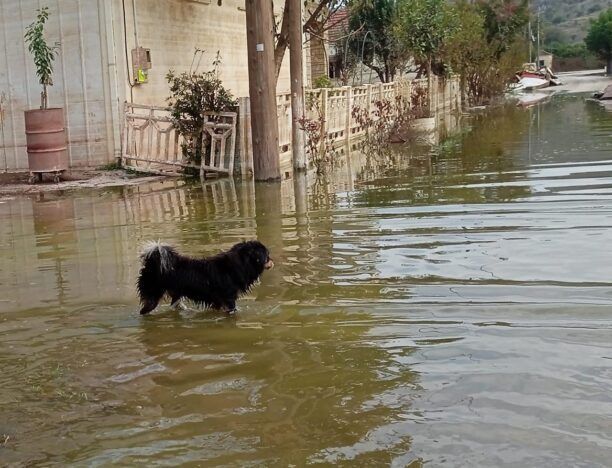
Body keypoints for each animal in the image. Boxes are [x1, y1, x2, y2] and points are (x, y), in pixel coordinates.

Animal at [139, 241, 274, 314]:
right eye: (267, 256)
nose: (273, 261)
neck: (241, 263)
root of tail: (151, 264)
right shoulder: (229, 299)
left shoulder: (218, 302)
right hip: (153, 297)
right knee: (143, 311)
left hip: (176, 295)